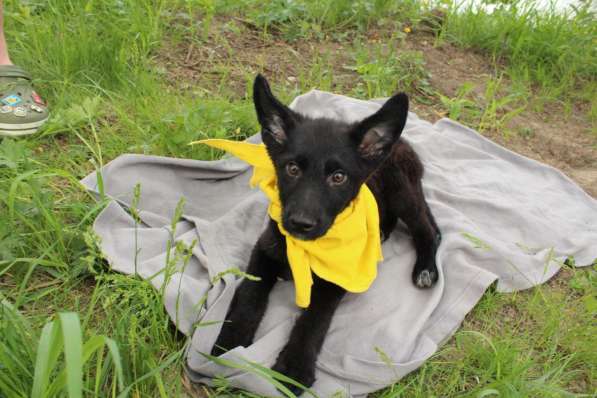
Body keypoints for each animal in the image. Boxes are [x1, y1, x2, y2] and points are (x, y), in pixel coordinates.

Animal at [212, 76, 440, 394]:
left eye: (338, 177)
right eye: (292, 168)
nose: (300, 224)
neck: (309, 248)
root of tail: (401, 142)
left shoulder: (336, 279)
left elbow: (314, 320)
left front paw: (294, 368)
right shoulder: (264, 249)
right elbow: (249, 292)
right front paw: (231, 342)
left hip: (403, 192)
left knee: (428, 230)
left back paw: (425, 269)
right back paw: (380, 232)